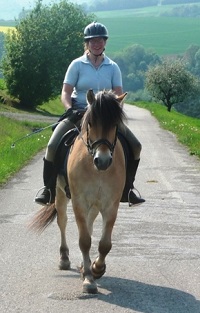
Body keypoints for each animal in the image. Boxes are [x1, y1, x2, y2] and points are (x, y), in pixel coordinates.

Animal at [30, 89, 127, 294]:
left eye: (115, 124)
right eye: (90, 123)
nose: (103, 160)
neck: (96, 168)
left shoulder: (111, 205)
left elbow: (104, 244)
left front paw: (97, 268)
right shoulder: (79, 201)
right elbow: (84, 241)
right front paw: (89, 279)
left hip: (94, 205)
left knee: (89, 225)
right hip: (60, 195)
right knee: (63, 222)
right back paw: (64, 259)